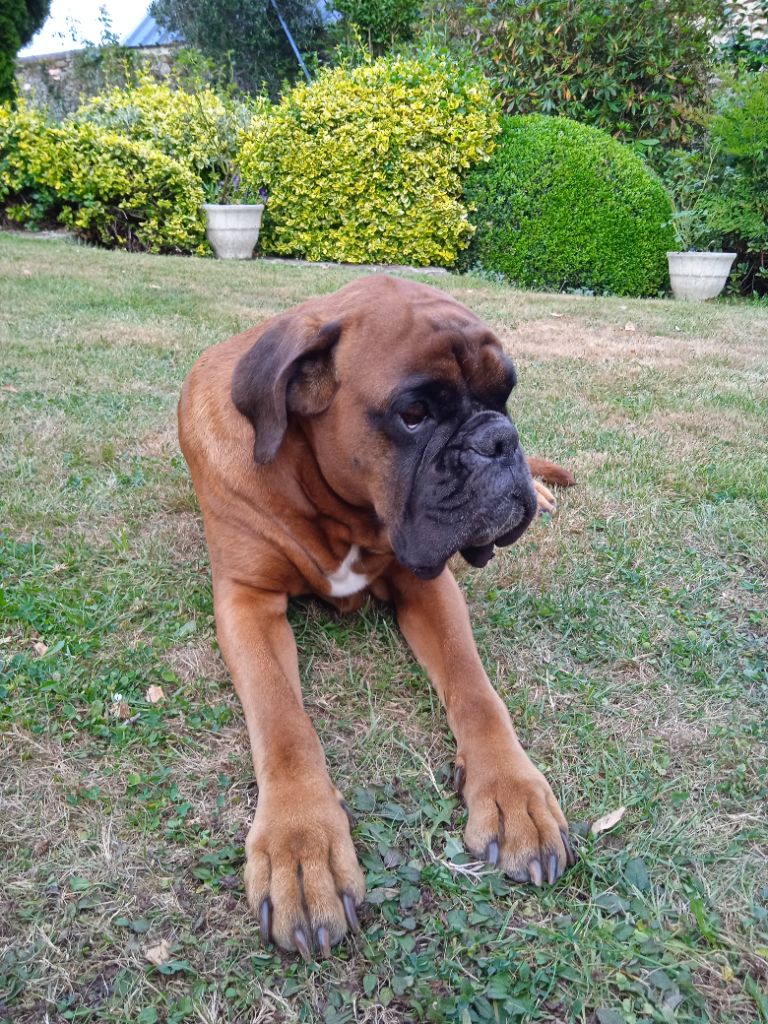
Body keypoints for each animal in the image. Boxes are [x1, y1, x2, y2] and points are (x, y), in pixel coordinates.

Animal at [178, 274, 577, 961]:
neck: (336, 510)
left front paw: (513, 792)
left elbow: (476, 691)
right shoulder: (245, 602)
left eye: (505, 395)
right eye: (413, 414)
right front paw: (300, 845)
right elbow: (283, 720)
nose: (500, 438)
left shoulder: (429, 586)